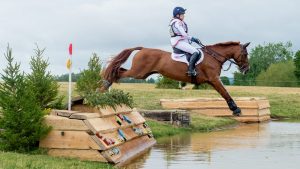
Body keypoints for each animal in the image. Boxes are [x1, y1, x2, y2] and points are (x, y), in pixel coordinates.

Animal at [99, 41, 250, 116]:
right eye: (245, 54)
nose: (246, 69)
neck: (214, 56)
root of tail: (143, 48)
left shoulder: (212, 80)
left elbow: (223, 93)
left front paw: (234, 108)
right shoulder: (214, 79)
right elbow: (225, 92)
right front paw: (236, 109)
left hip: (142, 73)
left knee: (118, 71)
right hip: (139, 73)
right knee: (117, 72)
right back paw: (103, 88)